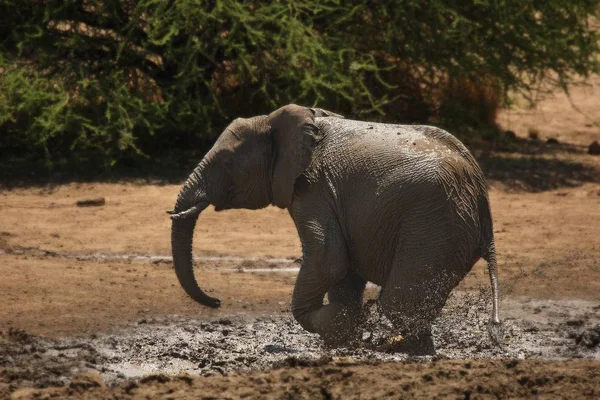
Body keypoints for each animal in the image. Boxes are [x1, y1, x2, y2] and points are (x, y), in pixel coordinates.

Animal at [170, 104, 502, 354]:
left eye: (226, 163)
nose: (217, 302)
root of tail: (480, 189)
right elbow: (344, 269)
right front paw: (347, 332)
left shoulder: (314, 187)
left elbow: (328, 259)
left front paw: (346, 322)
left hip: (436, 223)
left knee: (397, 302)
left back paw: (399, 349)